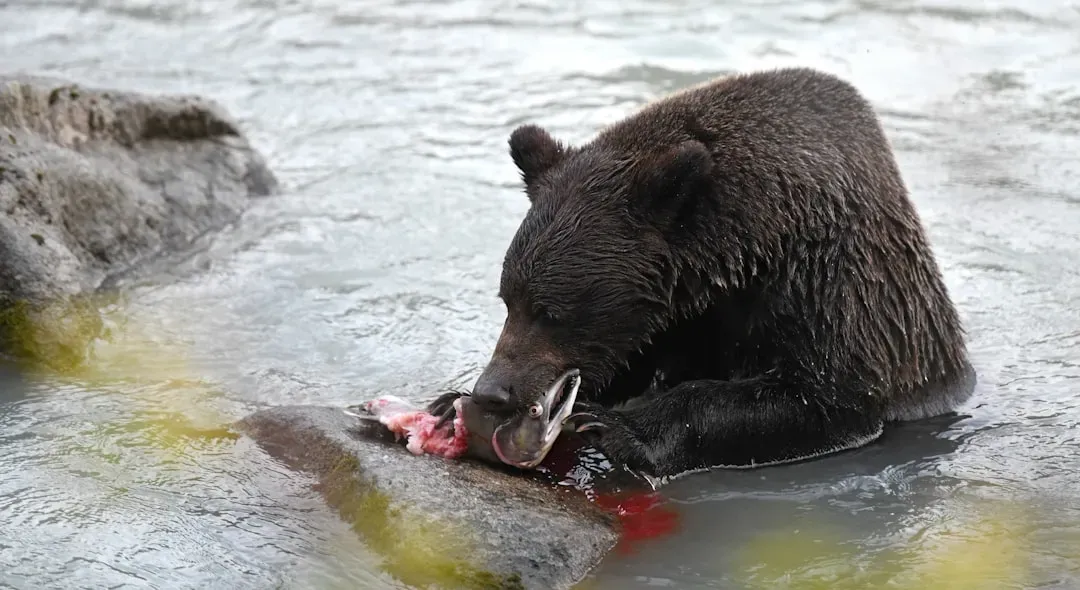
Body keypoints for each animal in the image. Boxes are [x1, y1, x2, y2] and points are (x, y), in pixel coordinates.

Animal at [428, 66, 978, 483]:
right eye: (507, 299)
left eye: (551, 312)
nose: (493, 390)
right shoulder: (678, 314)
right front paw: (448, 401)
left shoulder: (832, 290)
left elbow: (819, 397)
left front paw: (614, 427)